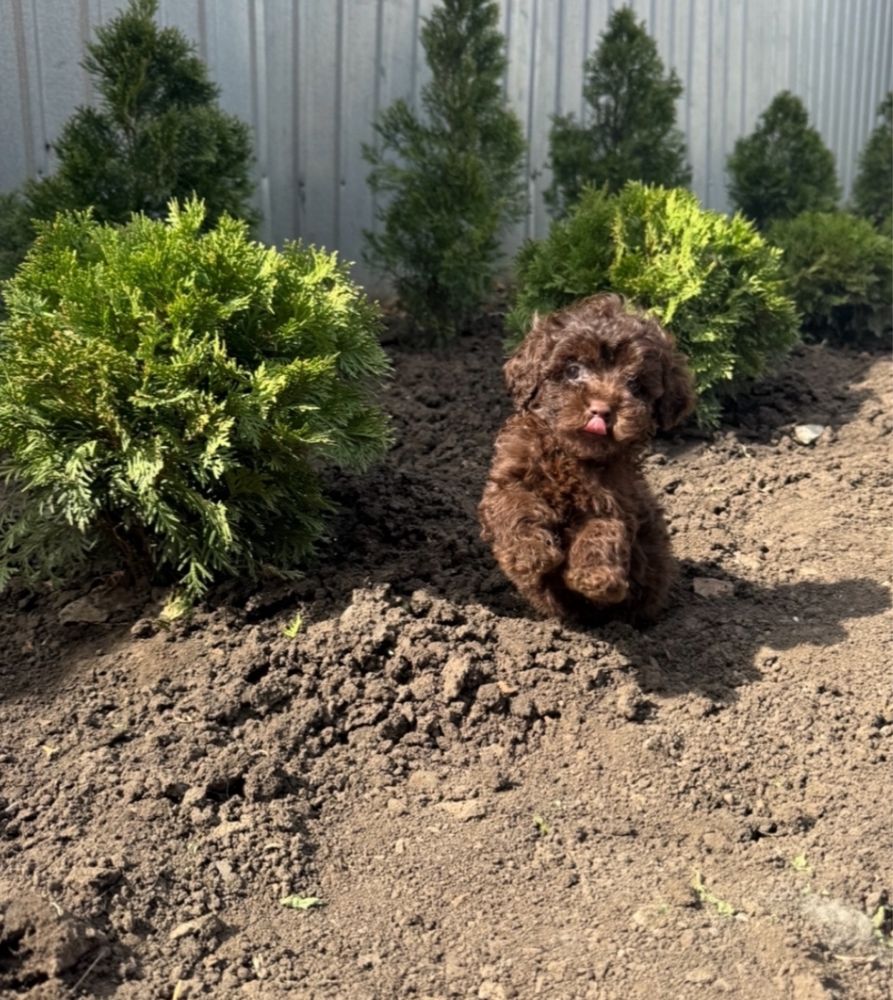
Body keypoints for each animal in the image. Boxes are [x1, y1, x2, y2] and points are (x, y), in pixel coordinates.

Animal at [480, 292, 696, 620]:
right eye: (573, 370)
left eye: (635, 385)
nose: (602, 410)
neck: (572, 456)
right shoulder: (508, 478)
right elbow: (515, 506)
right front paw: (528, 551)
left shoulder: (616, 500)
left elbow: (604, 530)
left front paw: (596, 577)